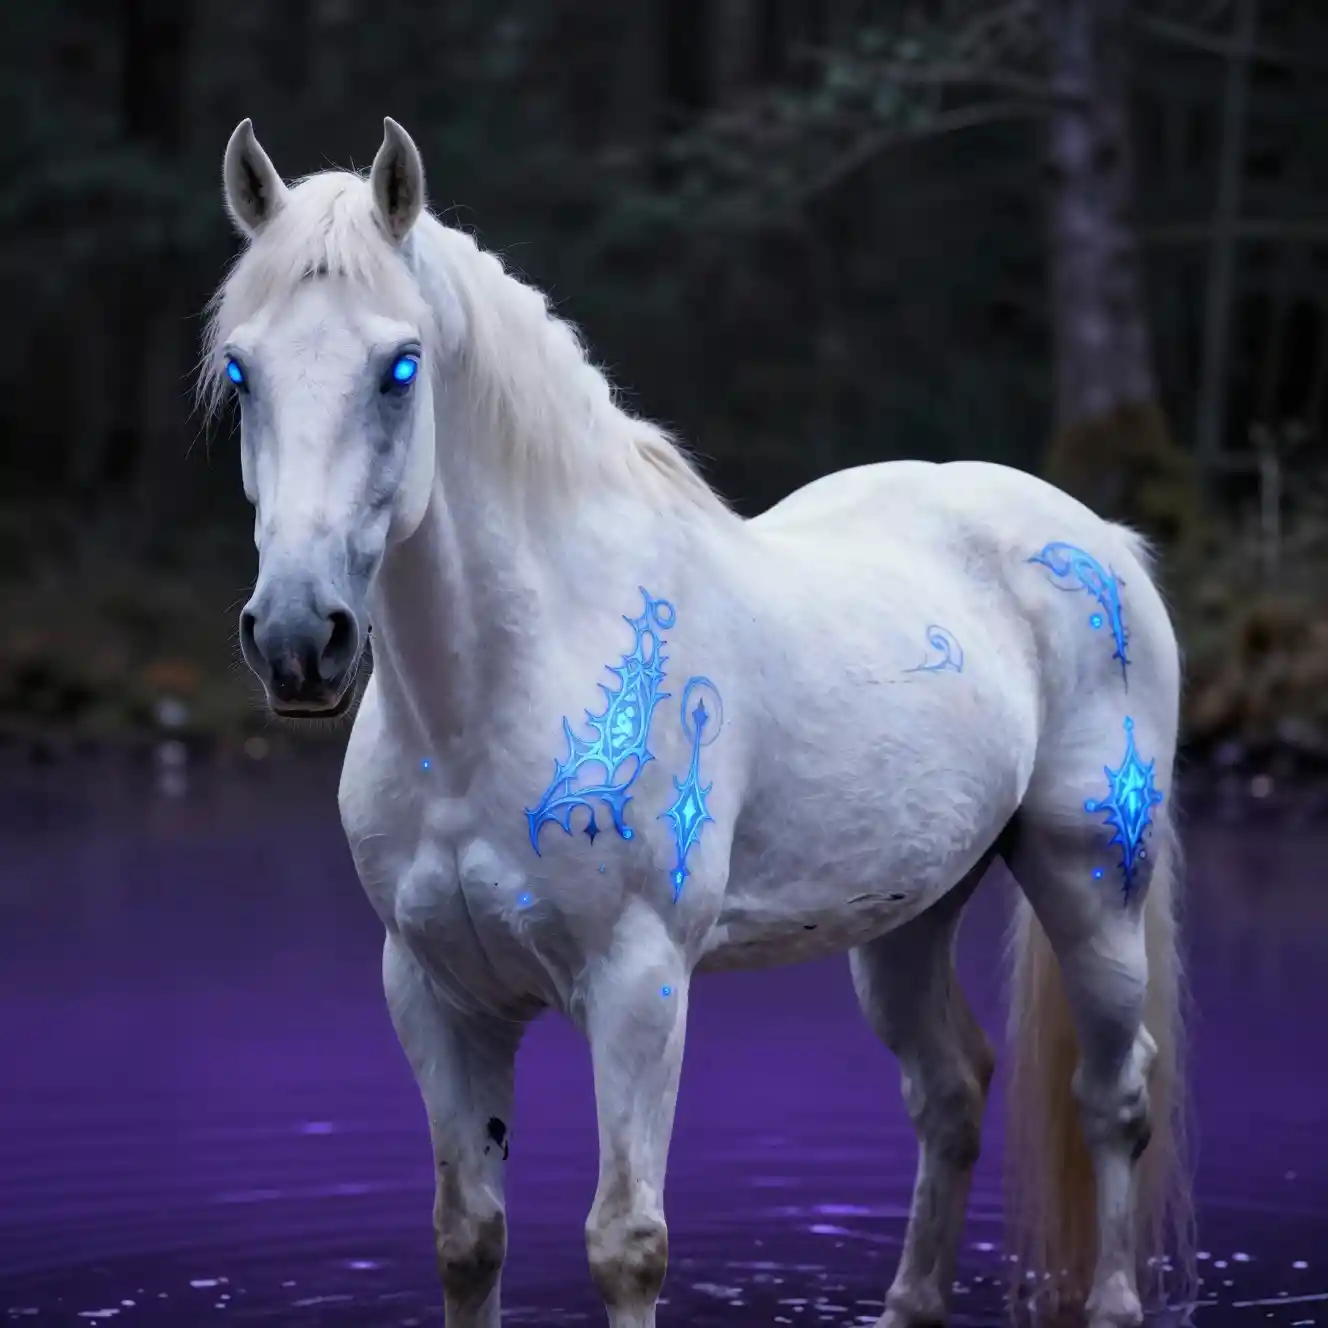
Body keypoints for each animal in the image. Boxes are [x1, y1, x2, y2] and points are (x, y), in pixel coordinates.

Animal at [204, 116, 1194, 1328]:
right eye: (241, 371)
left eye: (399, 367)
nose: (301, 638)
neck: (488, 702)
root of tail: (1101, 537)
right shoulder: (437, 994)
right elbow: (467, 1238)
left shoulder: (640, 984)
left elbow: (625, 1242)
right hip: (911, 913)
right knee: (951, 1089)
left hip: (1090, 882)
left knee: (1112, 1095)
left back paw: (1112, 1296)